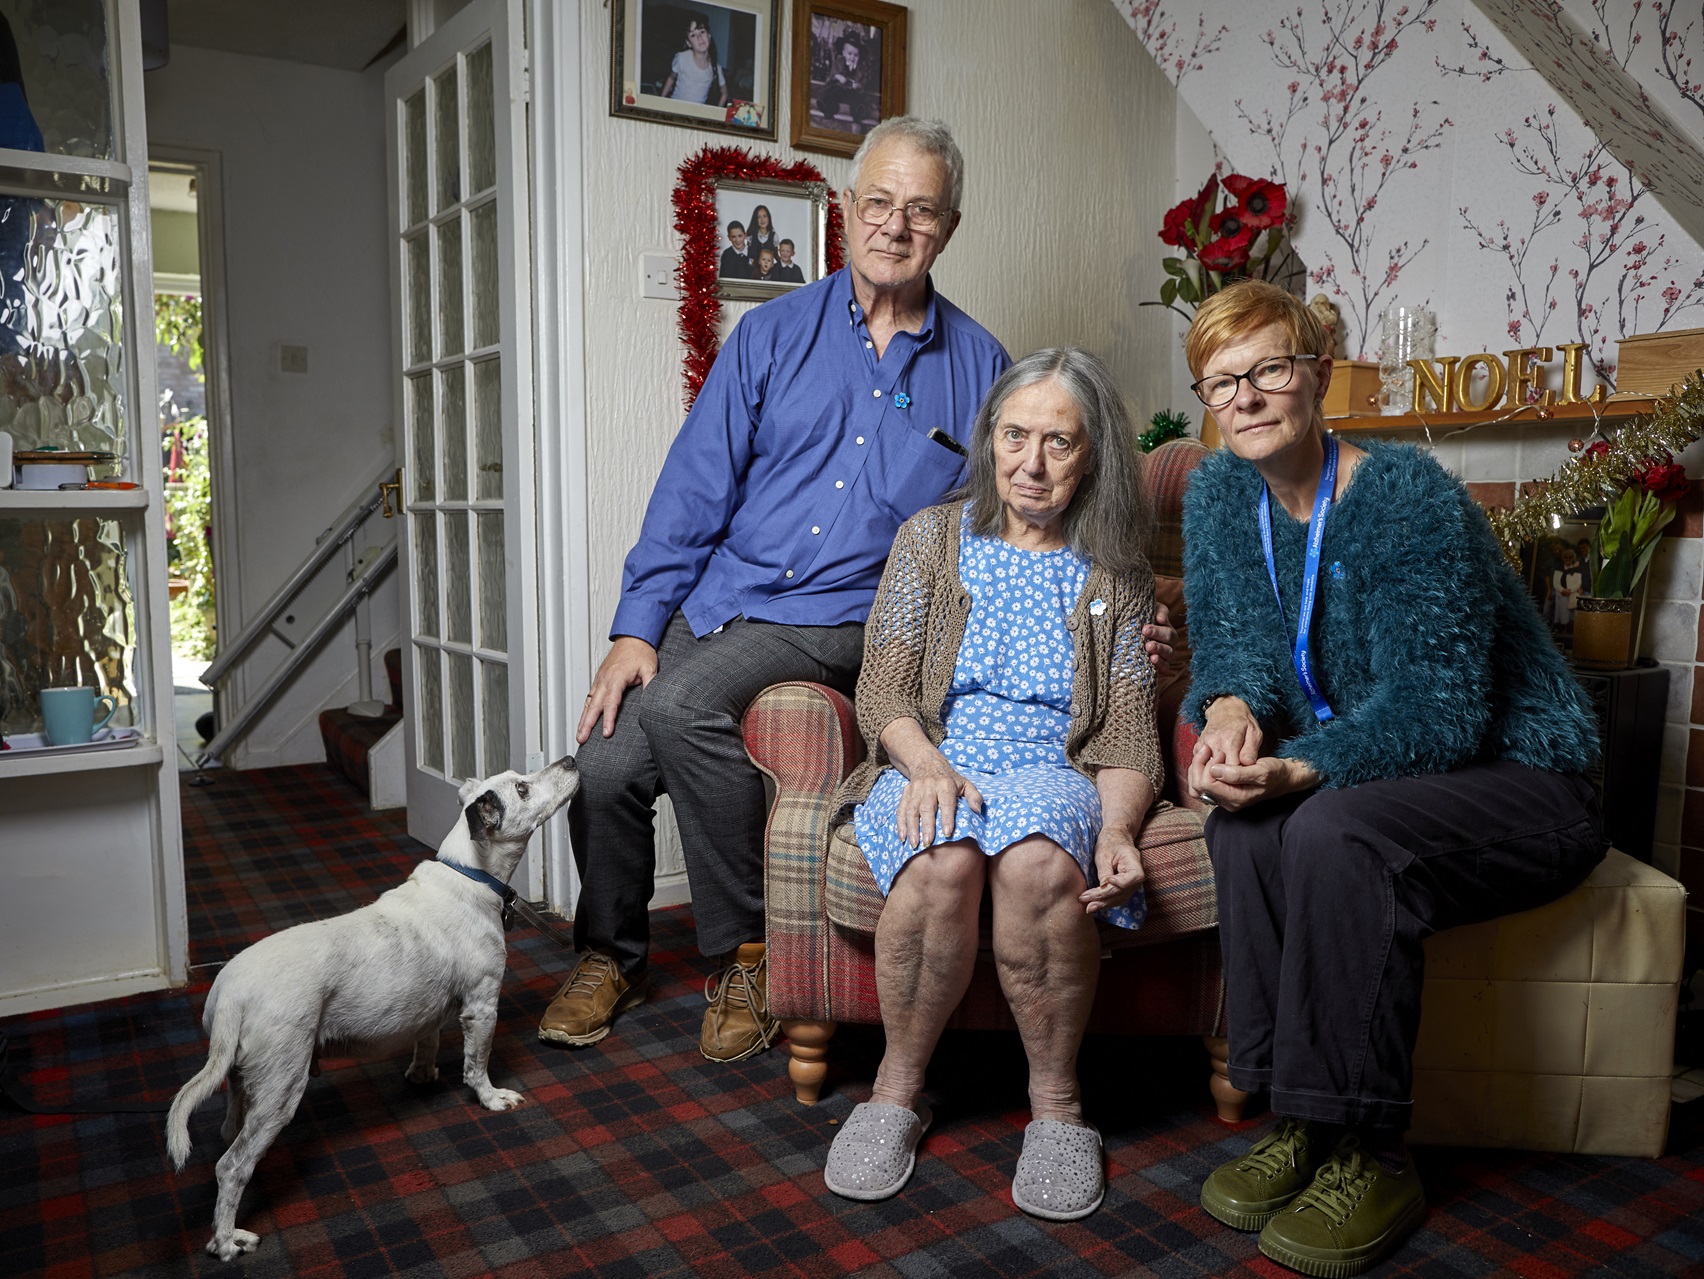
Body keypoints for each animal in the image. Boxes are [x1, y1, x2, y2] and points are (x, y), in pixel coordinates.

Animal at [166, 756, 579, 1267]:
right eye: (522, 788)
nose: (571, 759)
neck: (472, 874)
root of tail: (229, 995)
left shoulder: (429, 1009)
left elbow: (427, 1042)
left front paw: (421, 1076)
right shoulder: (483, 1004)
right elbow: (476, 1065)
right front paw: (491, 1097)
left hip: (244, 1080)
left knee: (229, 1130)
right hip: (282, 1086)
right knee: (232, 1166)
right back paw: (227, 1240)